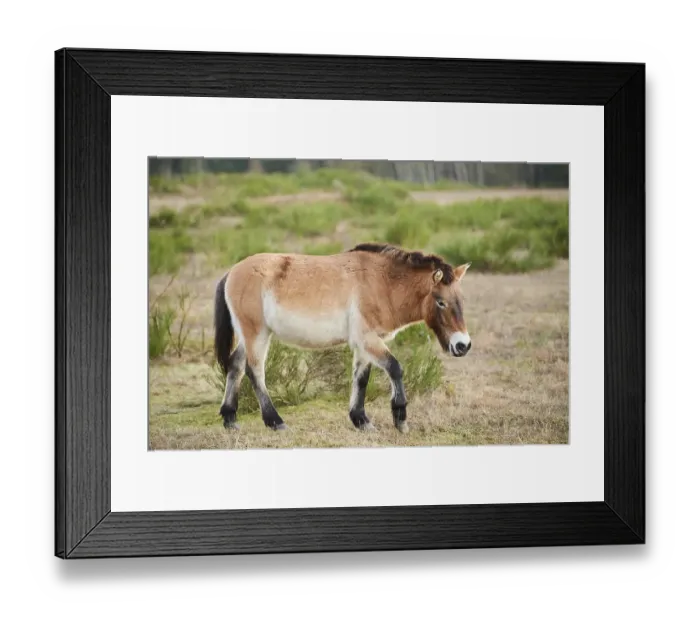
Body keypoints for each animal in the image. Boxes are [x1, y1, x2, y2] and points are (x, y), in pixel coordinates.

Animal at [213, 242, 472, 434]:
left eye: (461, 299)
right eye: (441, 302)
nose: (463, 345)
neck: (382, 282)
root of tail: (231, 272)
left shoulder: (365, 344)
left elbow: (361, 378)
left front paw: (361, 420)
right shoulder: (368, 339)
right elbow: (395, 368)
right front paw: (400, 419)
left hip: (253, 336)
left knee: (236, 366)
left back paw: (230, 419)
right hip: (256, 334)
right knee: (255, 371)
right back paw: (275, 422)